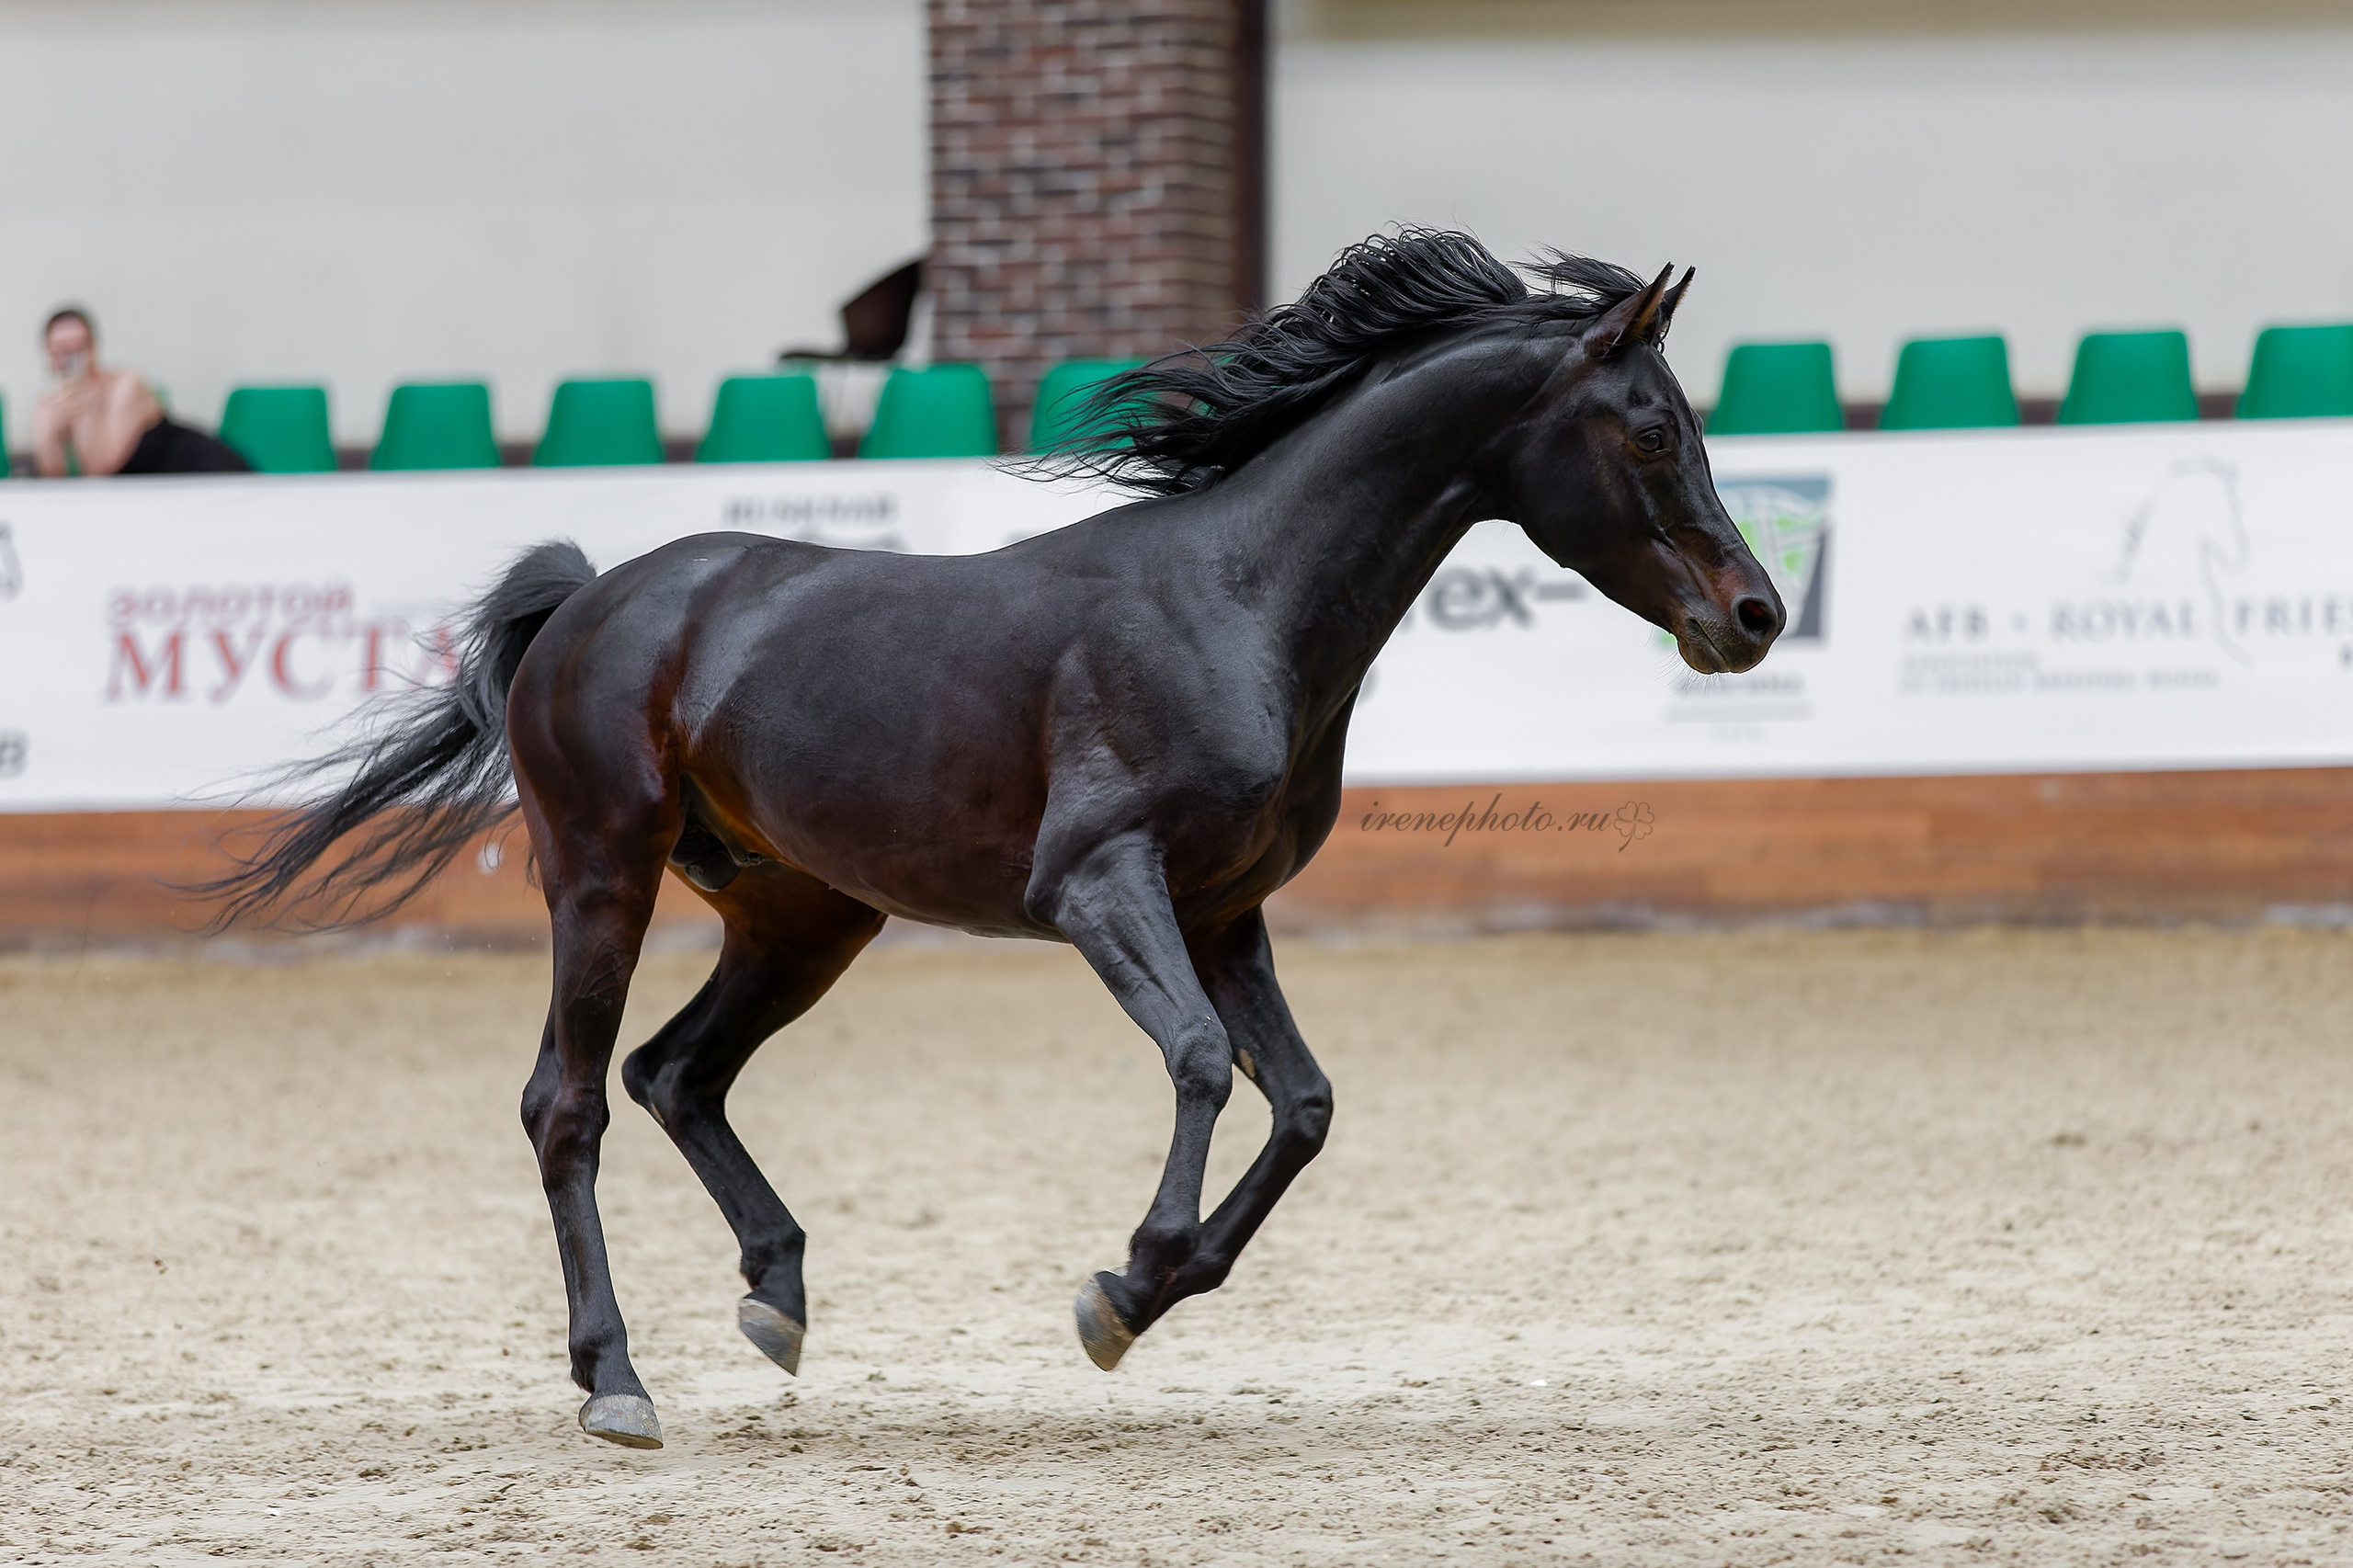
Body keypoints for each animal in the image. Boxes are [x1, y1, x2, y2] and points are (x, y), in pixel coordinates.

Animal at [207, 230, 1784, 1449]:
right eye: (1654, 429)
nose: (1755, 614)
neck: (1237, 597)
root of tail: (592, 597)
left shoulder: (1225, 912)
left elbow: (1304, 1103)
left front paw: (1141, 1298)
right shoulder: (1098, 886)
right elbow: (1203, 1062)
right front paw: (1124, 1282)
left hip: (805, 916)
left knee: (676, 1071)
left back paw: (776, 1297)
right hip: (603, 875)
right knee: (570, 1101)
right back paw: (617, 1381)